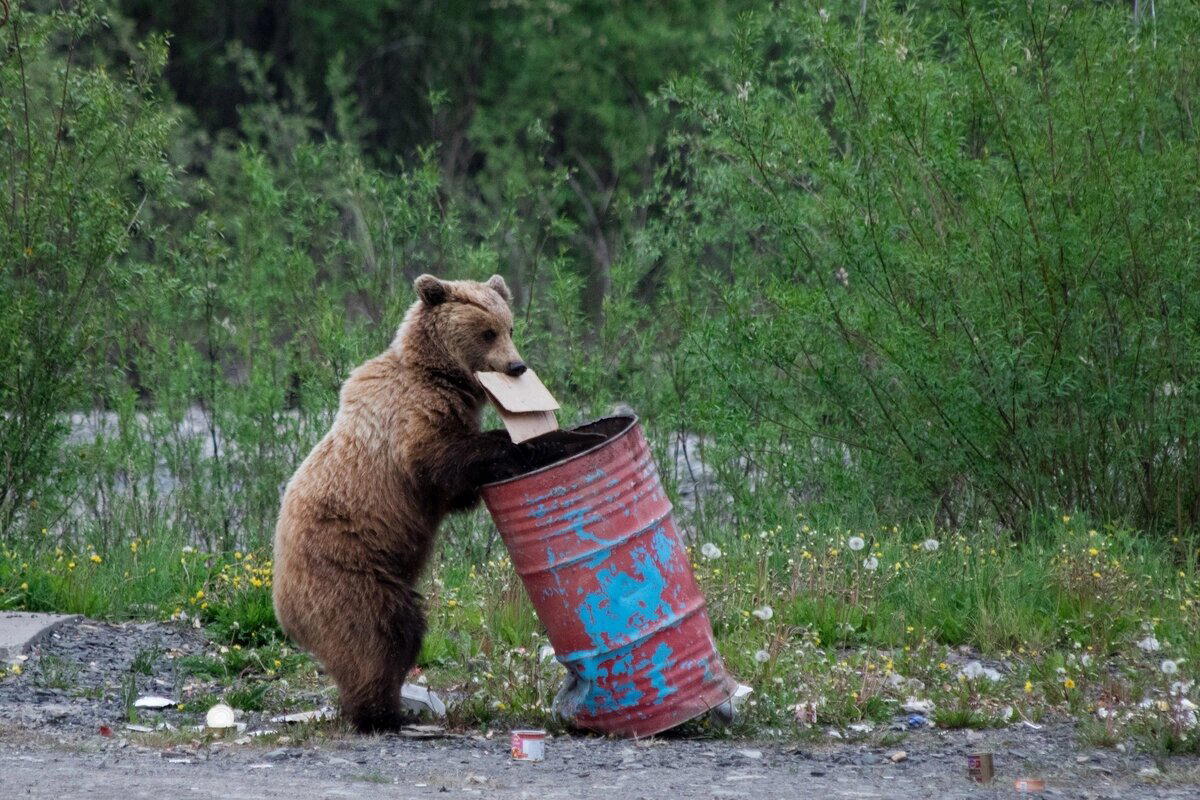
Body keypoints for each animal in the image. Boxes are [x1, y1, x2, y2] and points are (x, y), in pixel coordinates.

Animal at [271, 275, 590, 734]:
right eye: (487, 332)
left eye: (509, 327)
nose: (517, 366)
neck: (439, 376)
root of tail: (282, 608)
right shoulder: (412, 420)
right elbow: (442, 460)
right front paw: (519, 443)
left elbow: (457, 491)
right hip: (349, 571)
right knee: (379, 633)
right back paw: (380, 713)